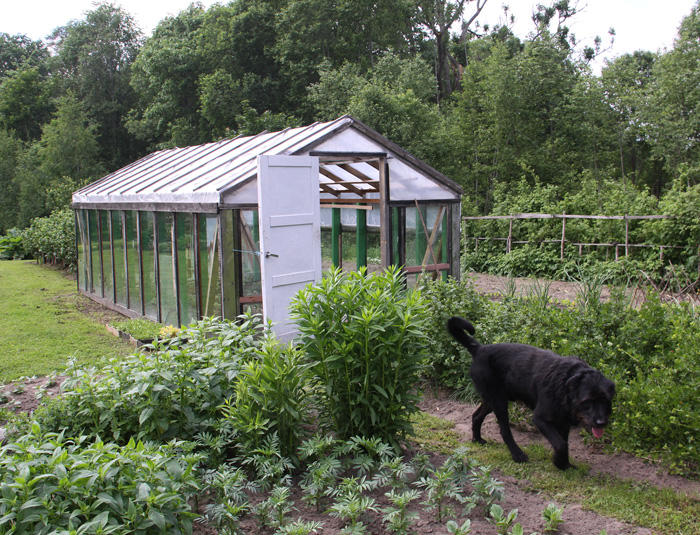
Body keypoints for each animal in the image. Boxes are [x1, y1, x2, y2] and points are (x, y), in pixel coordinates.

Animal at [448, 316, 612, 472]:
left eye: (605, 400)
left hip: (493, 398)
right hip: (499, 402)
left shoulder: (563, 421)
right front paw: (558, 463)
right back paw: (517, 454)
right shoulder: (540, 419)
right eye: (588, 401)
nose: (601, 422)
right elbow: (560, 444)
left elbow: (563, 443)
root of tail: (479, 349)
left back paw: (477, 439)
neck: (566, 381)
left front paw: (564, 465)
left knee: (476, 416)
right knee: (505, 430)